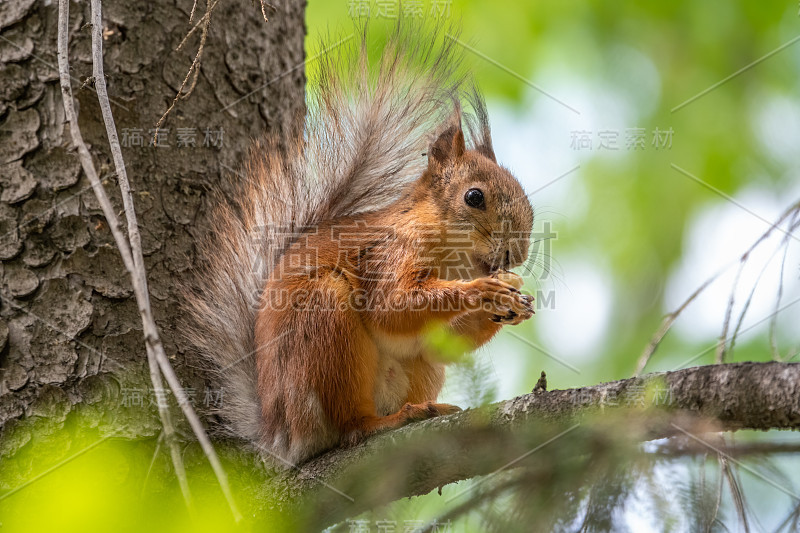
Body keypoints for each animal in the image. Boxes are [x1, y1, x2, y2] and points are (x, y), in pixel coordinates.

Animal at [184, 26, 536, 466]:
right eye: (474, 197)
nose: (518, 253)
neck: (451, 258)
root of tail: (281, 436)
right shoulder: (386, 253)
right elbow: (391, 306)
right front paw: (482, 291)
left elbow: (442, 343)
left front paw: (513, 304)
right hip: (323, 324)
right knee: (352, 425)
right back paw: (387, 421)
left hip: (415, 371)